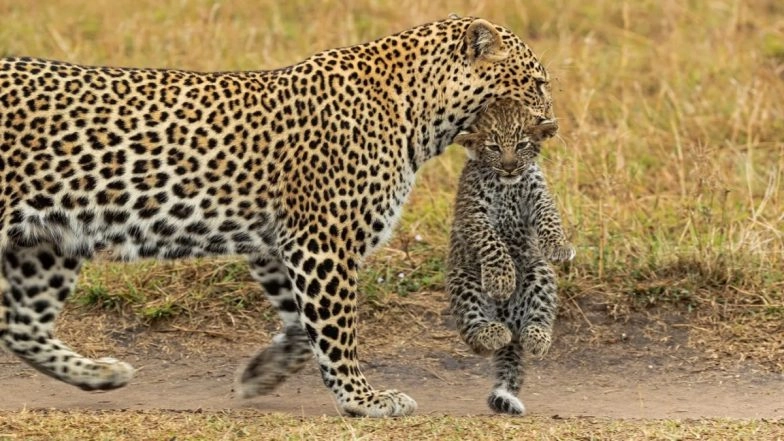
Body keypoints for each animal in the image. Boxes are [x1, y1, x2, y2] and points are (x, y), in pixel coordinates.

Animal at [0, 15, 554, 417]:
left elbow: (302, 327)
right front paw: (363, 400)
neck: (422, 117)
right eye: (535, 81)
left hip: (49, 241)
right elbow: (338, 330)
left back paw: (100, 374)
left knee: (19, 322)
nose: (552, 122)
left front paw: (258, 375)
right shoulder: (322, 241)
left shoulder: (278, 245)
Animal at [446, 98, 574, 415]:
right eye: (493, 147)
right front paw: (501, 280)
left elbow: (550, 218)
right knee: (474, 334)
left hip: (539, 271)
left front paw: (558, 246)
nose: (509, 166)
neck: (507, 185)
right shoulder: (473, 215)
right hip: (465, 278)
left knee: (540, 315)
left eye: (521, 145)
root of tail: (509, 322)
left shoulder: (539, 196)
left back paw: (536, 337)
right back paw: (493, 332)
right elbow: (492, 242)